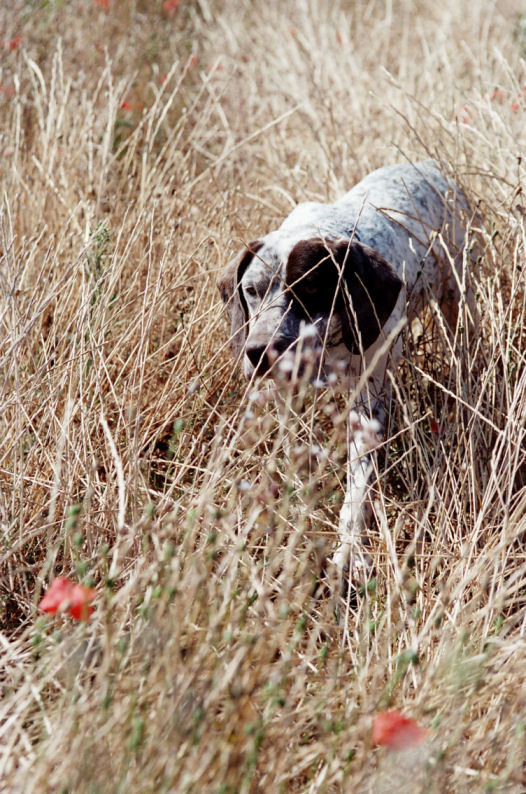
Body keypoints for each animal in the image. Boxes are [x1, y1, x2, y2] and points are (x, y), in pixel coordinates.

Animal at [219, 159, 470, 580]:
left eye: (310, 289)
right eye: (251, 291)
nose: (259, 352)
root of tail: (429, 165)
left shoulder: (369, 406)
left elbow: (357, 492)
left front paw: (348, 552)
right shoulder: (290, 401)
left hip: (460, 296)